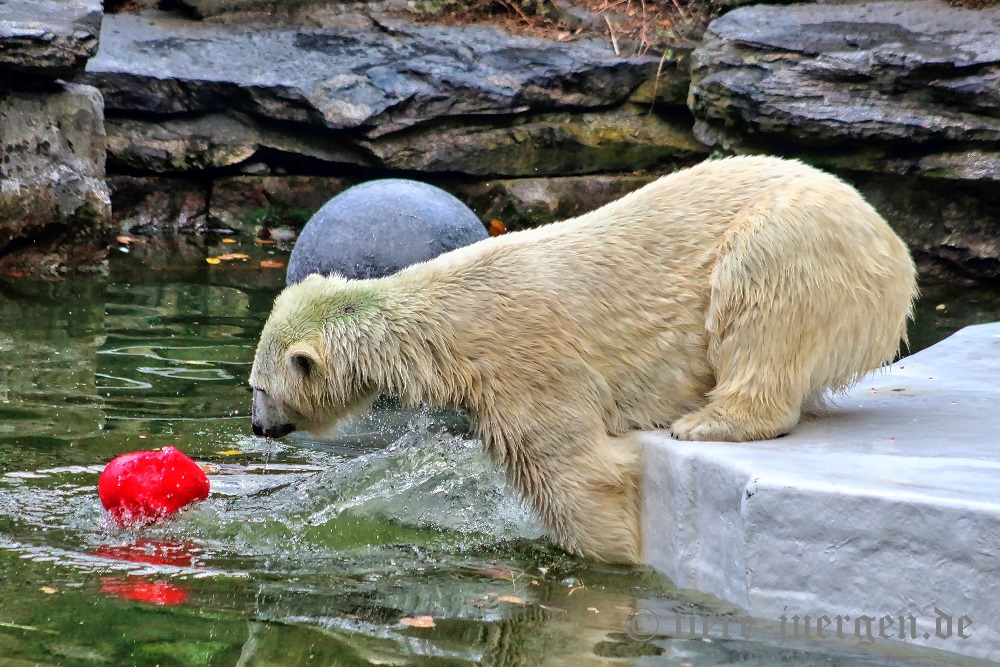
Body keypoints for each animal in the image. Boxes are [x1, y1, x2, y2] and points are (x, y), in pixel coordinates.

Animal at [248, 157, 916, 564]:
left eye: (259, 387)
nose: (256, 427)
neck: (446, 320)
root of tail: (891, 245)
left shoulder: (522, 361)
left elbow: (574, 469)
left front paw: (612, 551)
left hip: (803, 242)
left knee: (760, 292)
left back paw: (712, 420)